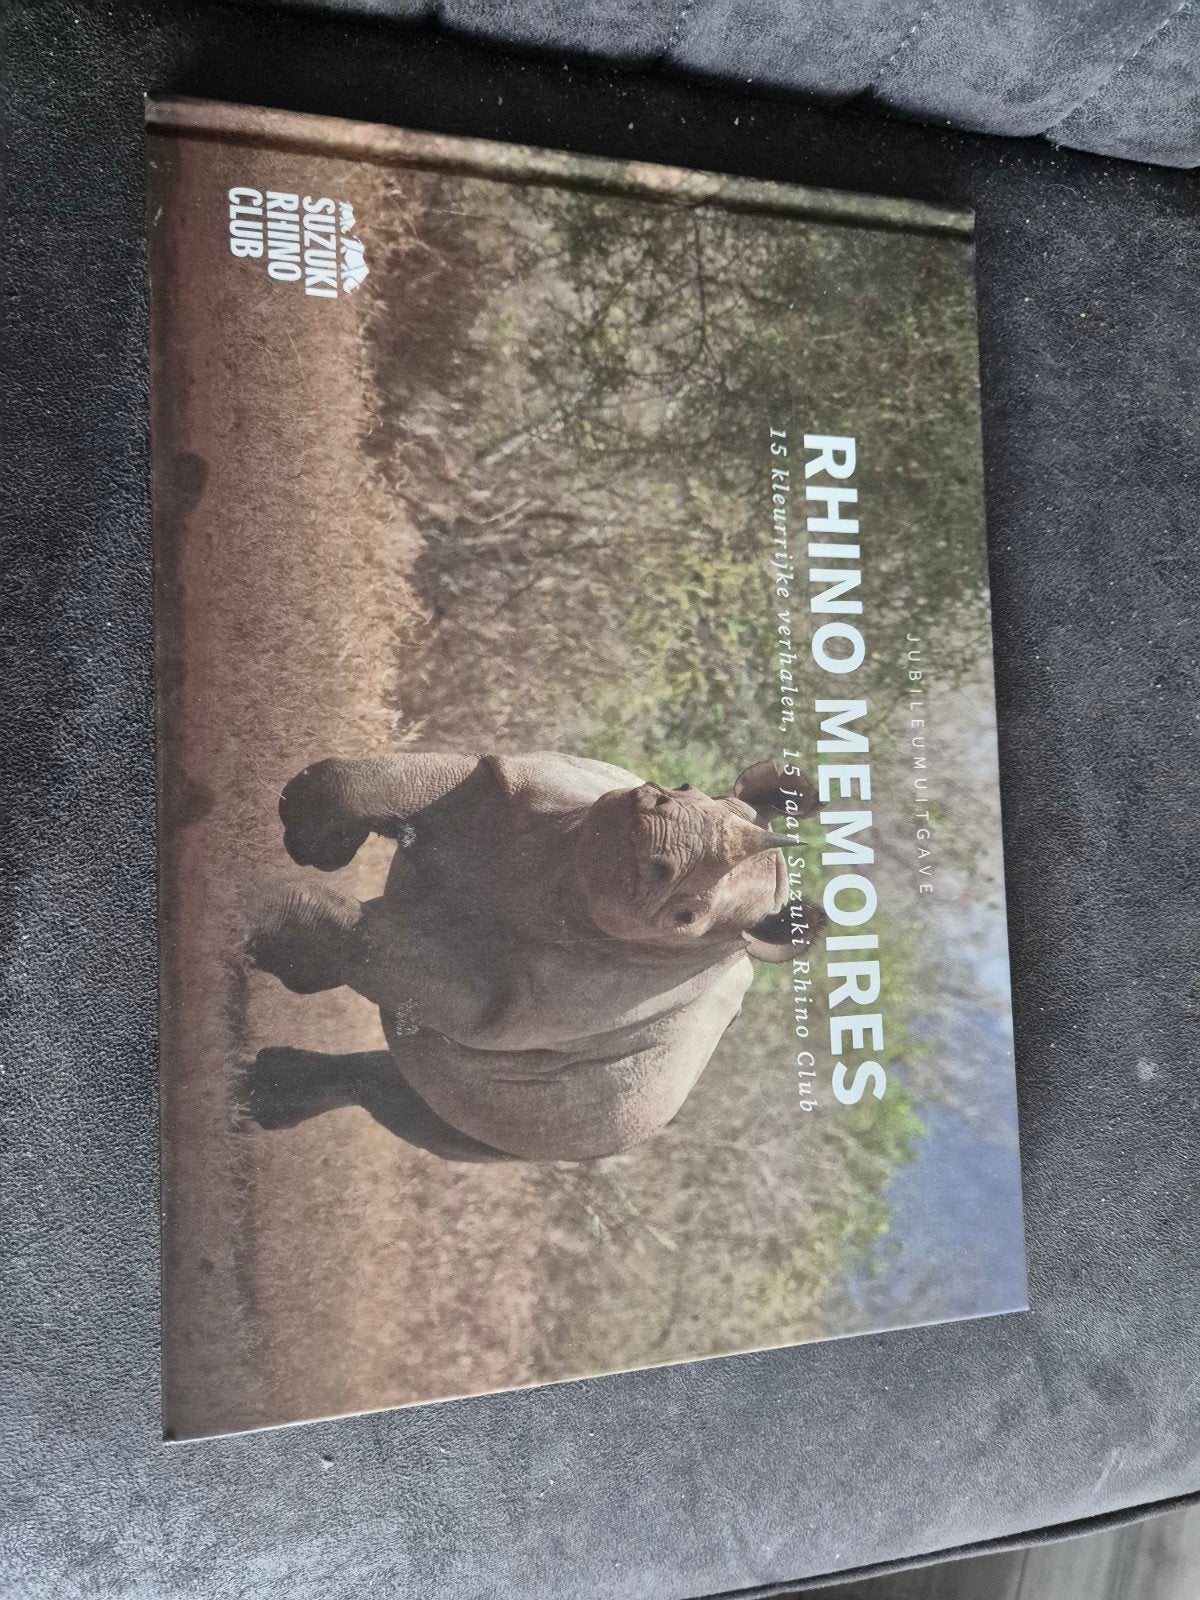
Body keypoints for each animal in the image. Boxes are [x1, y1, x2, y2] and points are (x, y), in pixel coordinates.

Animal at [247, 752, 824, 1162]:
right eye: (685, 788)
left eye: (687, 916)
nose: (650, 823)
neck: (567, 871)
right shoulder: (518, 784)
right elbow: (374, 784)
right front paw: (312, 839)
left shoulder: (511, 1005)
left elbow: (378, 950)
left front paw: (252, 916)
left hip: (578, 1135)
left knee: (429, 1106)